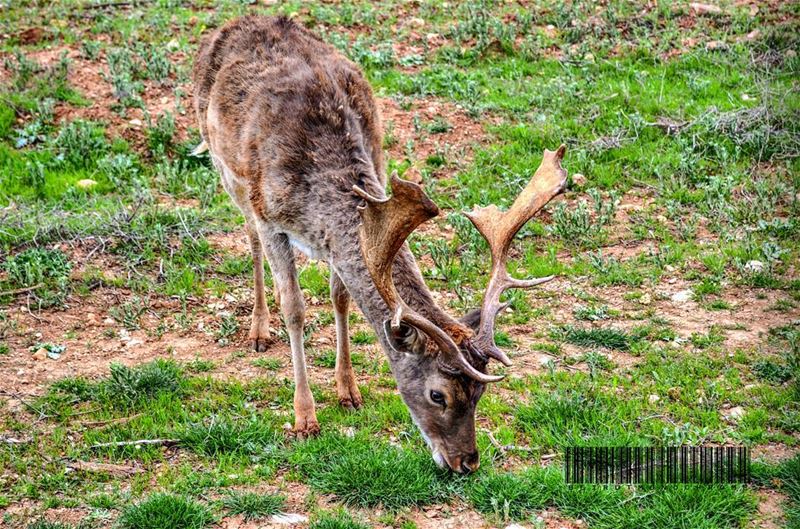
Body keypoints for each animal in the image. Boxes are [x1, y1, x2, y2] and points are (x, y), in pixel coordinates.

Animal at [192, 14, 568, 472]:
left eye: (480, 393)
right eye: (437, 394)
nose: (467, 462)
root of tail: (240, 21)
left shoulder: (352, 227)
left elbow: (340, 298)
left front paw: (348, 391)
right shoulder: (271, 217)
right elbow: (295, 308)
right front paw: (304, 418)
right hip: (227, 170)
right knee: (248, 237)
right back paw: (258, 331)